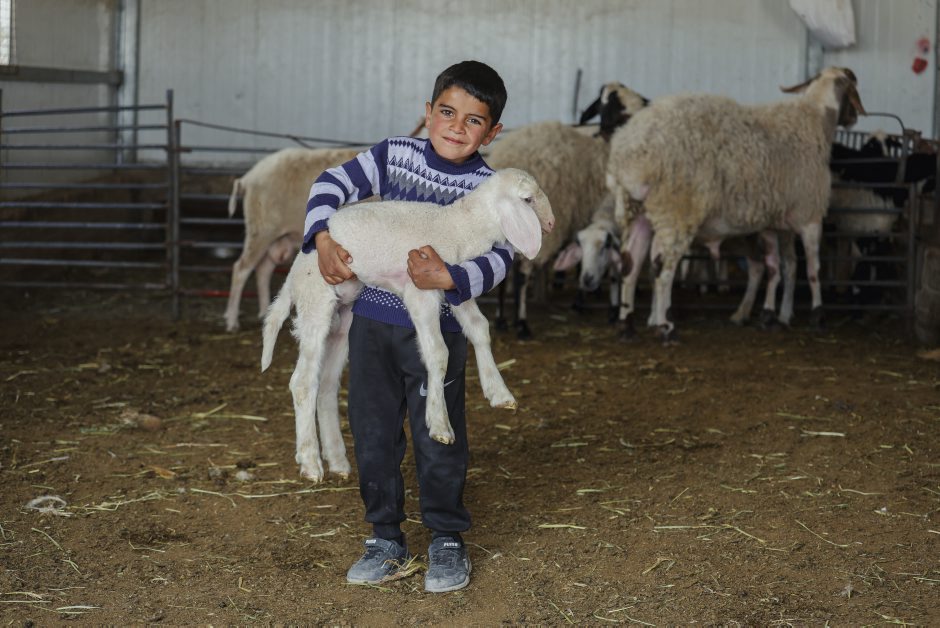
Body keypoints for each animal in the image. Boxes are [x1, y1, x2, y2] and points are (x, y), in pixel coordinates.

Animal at [223, 146, 364, 332]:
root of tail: (248, 177)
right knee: (241, 269)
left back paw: (264, 312)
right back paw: (232, 320)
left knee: (263, 269)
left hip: (275, 237)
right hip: (261, 230)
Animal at [260, 168, 554, 481]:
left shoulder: (454, 287)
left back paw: (338, 461)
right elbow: (438, 353)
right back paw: (310, 463)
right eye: (528, 199)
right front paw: (439, 423)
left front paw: (499, 392)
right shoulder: (420, 293)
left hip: (342, 316)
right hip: (316, 300)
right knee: (303, 382)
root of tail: (295, 270)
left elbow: (479, 328)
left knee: (326, 385)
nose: (551, 224)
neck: (459, 227)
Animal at [605, 66, 865, 342]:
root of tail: (628, 152)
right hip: (676, 211)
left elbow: (778, 268)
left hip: (640, 212)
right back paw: (665, 327)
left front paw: (773, 316)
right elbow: (813, 269)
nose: (853, 119)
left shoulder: (773, 222)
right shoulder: (810, 216)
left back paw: (626, 325)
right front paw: (818, 315)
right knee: (662, 267)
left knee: (630, 265)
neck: (815, 120)